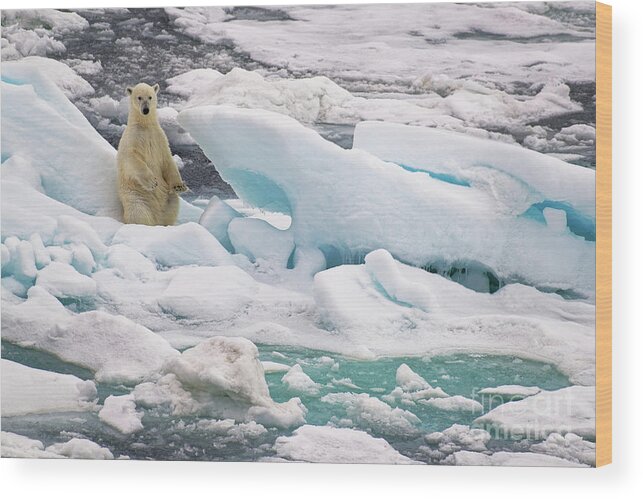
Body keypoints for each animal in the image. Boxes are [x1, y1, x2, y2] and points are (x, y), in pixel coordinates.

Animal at [116, 83, 187, 226]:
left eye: (150, 97)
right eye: (139, 97)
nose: (146, 110)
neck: (145, 126)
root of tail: (156, 218)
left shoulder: (159, 138)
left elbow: (168, 160)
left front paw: (179, 186)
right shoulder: (132, 139)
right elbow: (132, 159)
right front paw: (152, 182)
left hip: (167, 198)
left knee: (173, 204)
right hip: (136, 196)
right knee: (138, 212)